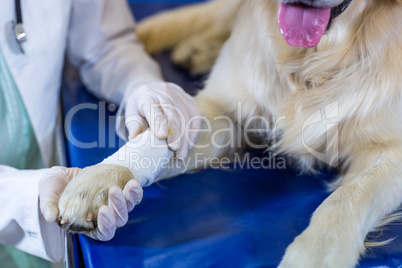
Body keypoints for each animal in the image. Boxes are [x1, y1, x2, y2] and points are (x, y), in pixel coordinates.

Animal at [59, 0, 402, 266]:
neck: (311, 62)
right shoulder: (223, 112)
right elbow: (156, 141)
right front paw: (99, 181)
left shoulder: (391, 155)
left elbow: (346, 198)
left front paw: (318, 254)